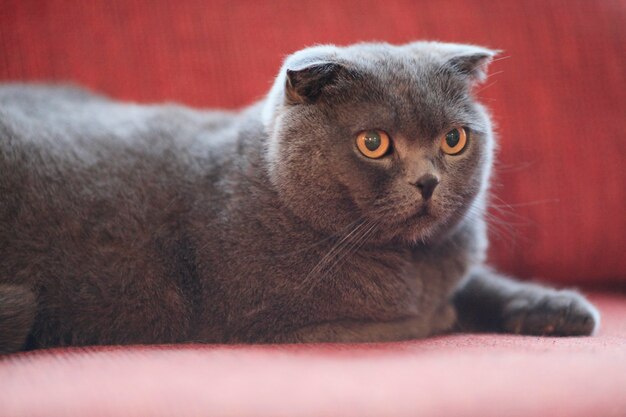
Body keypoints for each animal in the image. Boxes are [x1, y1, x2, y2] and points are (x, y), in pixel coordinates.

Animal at [0, 40, 596, 352]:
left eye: (453, 139)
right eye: (374, 143)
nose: (428, 181)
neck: (412, 263)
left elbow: (479, 283)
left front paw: (556, 309)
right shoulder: (287, 324)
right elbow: (423, 316)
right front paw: (442, 312)